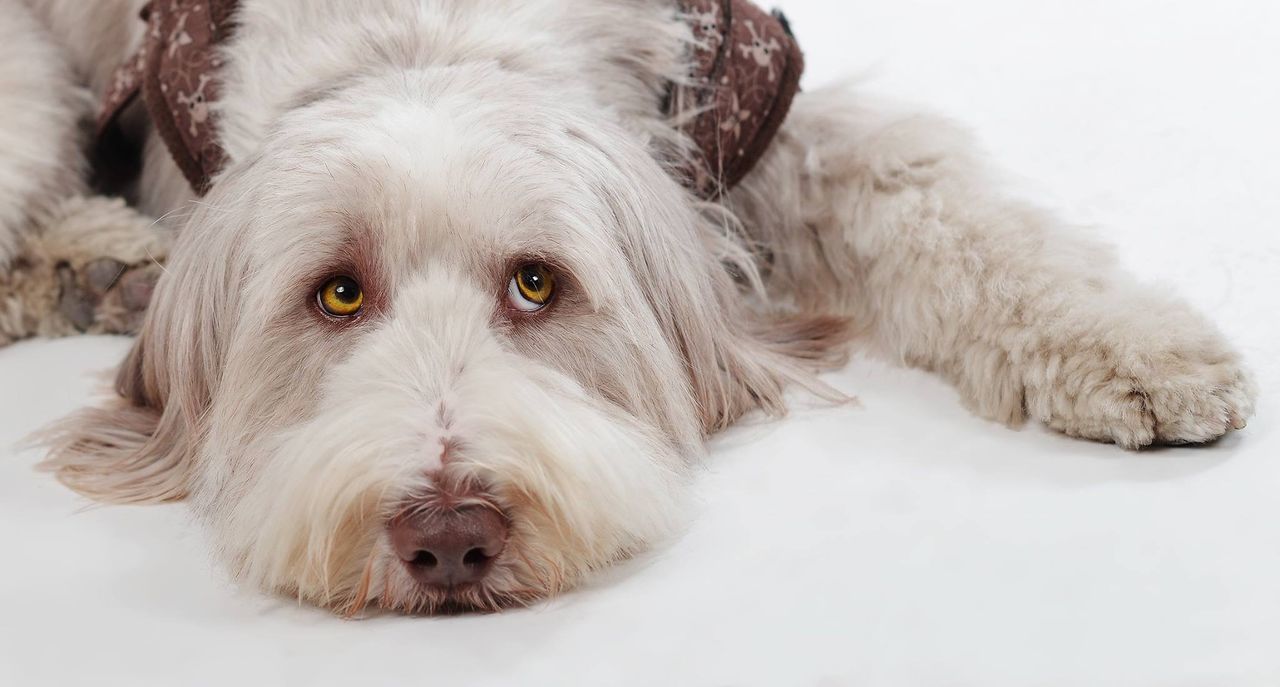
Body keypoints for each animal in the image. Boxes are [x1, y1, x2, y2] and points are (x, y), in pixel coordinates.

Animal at [0, 0, 1254, 614]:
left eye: (535, 282)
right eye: (338, 293)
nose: (448, 536)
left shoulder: (763, 117)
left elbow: (942, 206)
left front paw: (1136, 349)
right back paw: (95, 259)